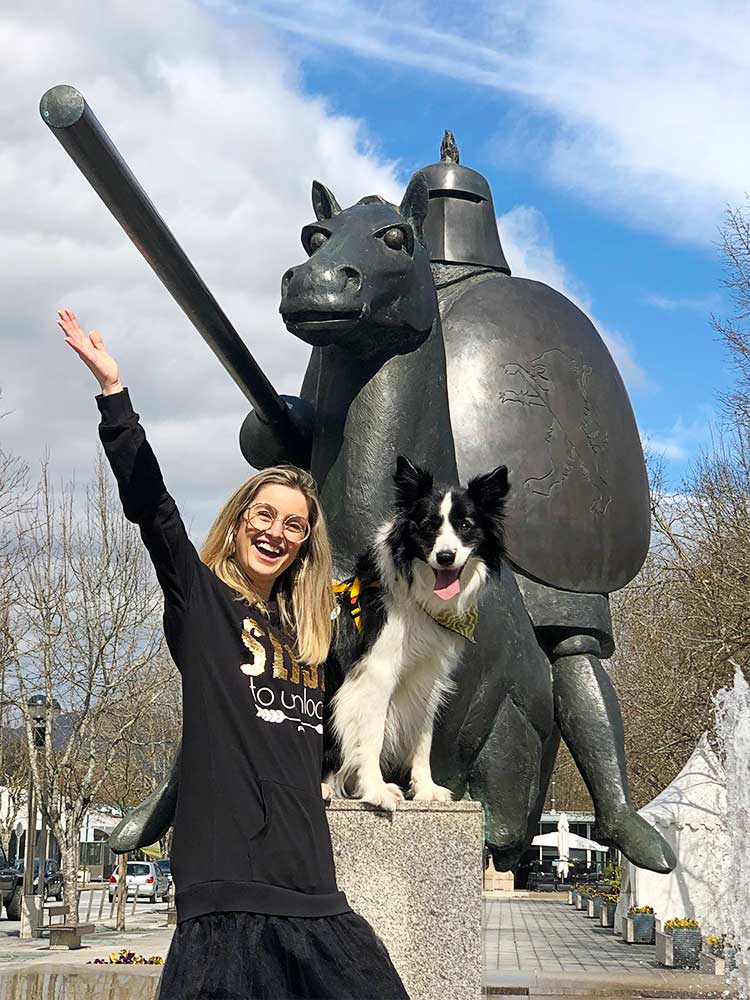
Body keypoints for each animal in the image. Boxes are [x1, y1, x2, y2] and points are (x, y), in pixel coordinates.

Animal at [324, 454, 512, 812]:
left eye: (465, 525)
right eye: (428, 525)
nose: (446, 557)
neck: (418, 596)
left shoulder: (428, 677)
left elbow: (422, 738)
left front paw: (426, 790)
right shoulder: (376, 672)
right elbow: (371, 736)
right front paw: (376, 790)